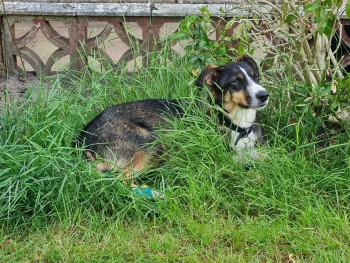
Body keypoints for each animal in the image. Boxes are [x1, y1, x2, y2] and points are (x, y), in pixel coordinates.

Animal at [79, 56, 270, 192]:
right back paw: (156, 194)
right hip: (152, 144)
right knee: (119, 181)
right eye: (235, 81)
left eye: (256, 77)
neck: (240, 126)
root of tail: (83, 139)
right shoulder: (222, 164)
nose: (264, 95)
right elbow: (249, 173)